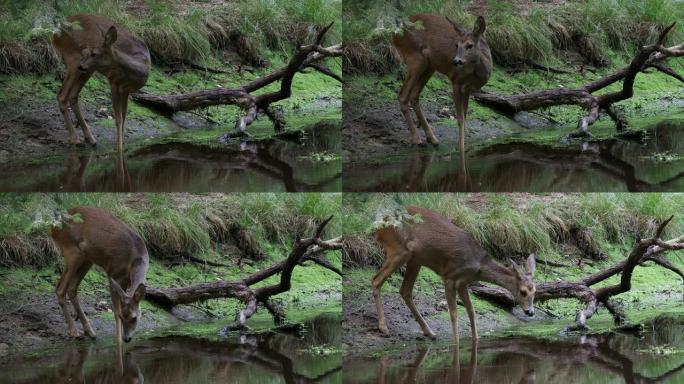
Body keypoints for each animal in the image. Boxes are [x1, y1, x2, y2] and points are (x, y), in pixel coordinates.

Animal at [51, 207, 150, 344]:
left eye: (134, 318)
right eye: (123, 317)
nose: (127, 338)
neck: (135, 260)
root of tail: (53, 227)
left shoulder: (125, 279)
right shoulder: (113, 273)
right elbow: (116, 311)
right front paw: (118, 341)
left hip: (87, 258)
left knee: (71, 288)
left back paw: (90, 331)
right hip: (72, 250)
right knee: (60, 289)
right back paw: (74, 332)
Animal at [52, 15, 151, 153]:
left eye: (94, 53)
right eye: (88, 51)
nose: (81, 65)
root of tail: (55, 33)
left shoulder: (126, 89)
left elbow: (125, 114)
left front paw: (123, 143)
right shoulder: (114, 83)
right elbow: (118, 117)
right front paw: (119, 147)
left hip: (87, 69)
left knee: (72, 95)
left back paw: (90, 139)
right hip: (74, 59)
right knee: (62, 95)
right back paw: (75, 139)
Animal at [374, 206, 536, 346]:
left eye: (535, 291)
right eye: (523, 291)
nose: (530, 312)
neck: (478, 266)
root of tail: (379, 225)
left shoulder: (463, 283)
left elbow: (471, 311)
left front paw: (475, 339)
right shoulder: (450, 277)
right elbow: (454, 313)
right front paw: (456, 342)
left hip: (415, 259)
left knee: (405, 290)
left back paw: (430, 332)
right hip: (399, 250)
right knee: (376, 280)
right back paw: (384, 328)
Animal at [390, 13, 492, 152]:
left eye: (470, 45)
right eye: (456, 45)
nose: (456, 61)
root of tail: (394, 34)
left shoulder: (468, 88)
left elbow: (465, 116)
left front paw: (461, 145)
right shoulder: (456, 80)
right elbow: (460, 118)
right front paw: (460, 148)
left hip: (429, 65)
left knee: (414, 95)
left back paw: (432, 139)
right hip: (415, 58)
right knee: (403, 96)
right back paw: (417, 139)